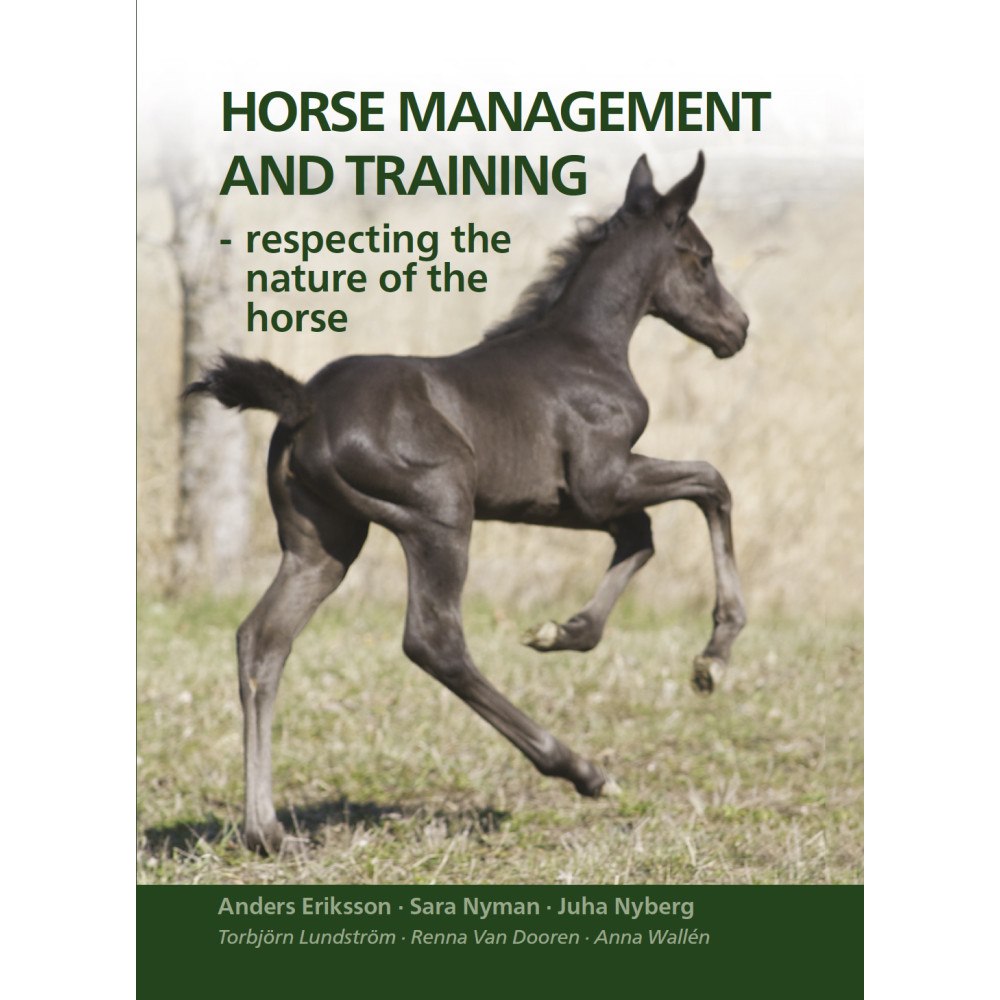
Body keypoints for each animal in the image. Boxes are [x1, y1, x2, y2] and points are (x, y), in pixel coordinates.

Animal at [185, 152, 750, 853]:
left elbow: (640, 537)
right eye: (701, 258)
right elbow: (711, 484)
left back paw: (266, 831)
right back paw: (582, 771)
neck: (587, 350)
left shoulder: (564, 502)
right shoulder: (603, 479)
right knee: (434, 642)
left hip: (323, 545)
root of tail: (304, 403)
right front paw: (712, 660)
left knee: (261, 641)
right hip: (440, 512)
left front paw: (564, 632)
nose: (738, 329)